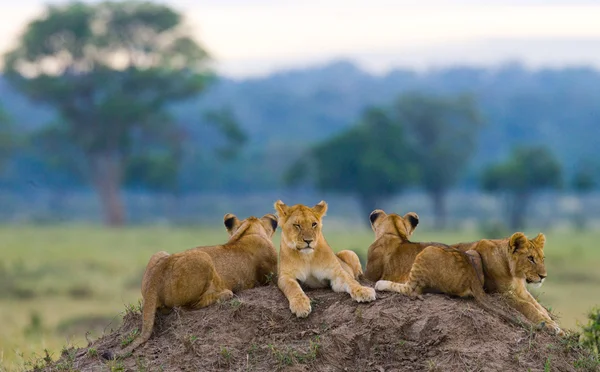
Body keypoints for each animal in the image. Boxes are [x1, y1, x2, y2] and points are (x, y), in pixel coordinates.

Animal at [110, 212, 278, 358]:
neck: (248, 230)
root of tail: (155, 280)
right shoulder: (274, 275)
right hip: (203, 258)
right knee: (187, 307)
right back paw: (225, 293)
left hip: (160, 253)